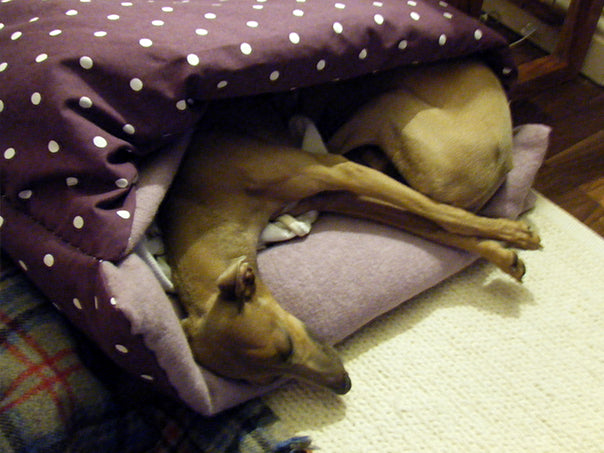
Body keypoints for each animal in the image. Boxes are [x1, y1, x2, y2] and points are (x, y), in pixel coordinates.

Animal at [159, 59, 536, 392]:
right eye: (262, 379)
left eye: (286, 347)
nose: (343, 385)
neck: (209, 202)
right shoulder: (338, 196)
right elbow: (430, 223)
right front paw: (503, 253)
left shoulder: (338, 173)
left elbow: (438, 213)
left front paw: (513, 235)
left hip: (382, 107)